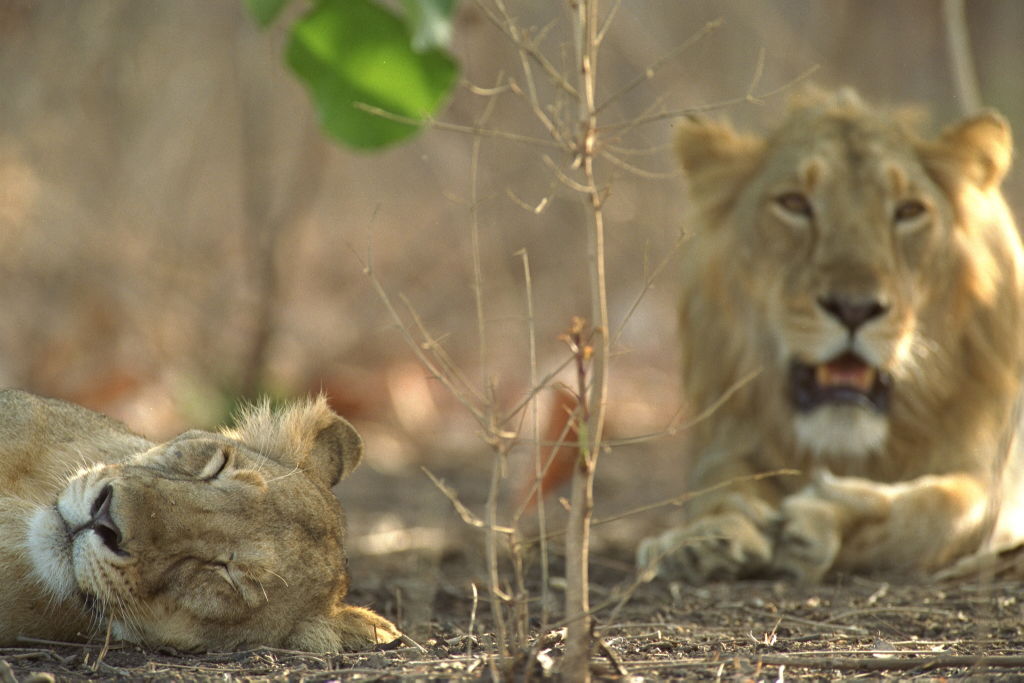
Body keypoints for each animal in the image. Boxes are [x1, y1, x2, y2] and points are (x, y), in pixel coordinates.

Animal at [634, 89, 1024, 581]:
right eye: (794, 203)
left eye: (909, 211)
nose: (854, 308)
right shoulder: (727, 442)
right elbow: (720, 487)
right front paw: (703, 537)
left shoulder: (994, 473)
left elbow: (948, 506)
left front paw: (821, 516)